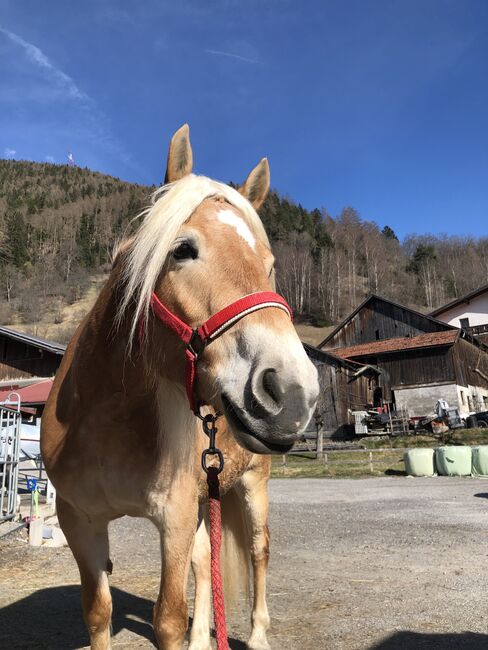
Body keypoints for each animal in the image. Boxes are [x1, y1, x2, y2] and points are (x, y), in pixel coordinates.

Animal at [40, 123, 318, 648]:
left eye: (270, 265)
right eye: (183, 250)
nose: (294, 393)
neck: (106, 417)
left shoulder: (175, 515)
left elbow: (168, 617)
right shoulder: (79, 520)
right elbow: (98, 612)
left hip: (252, 485)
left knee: (258, 552)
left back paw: (257, 635)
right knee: (206, 561)